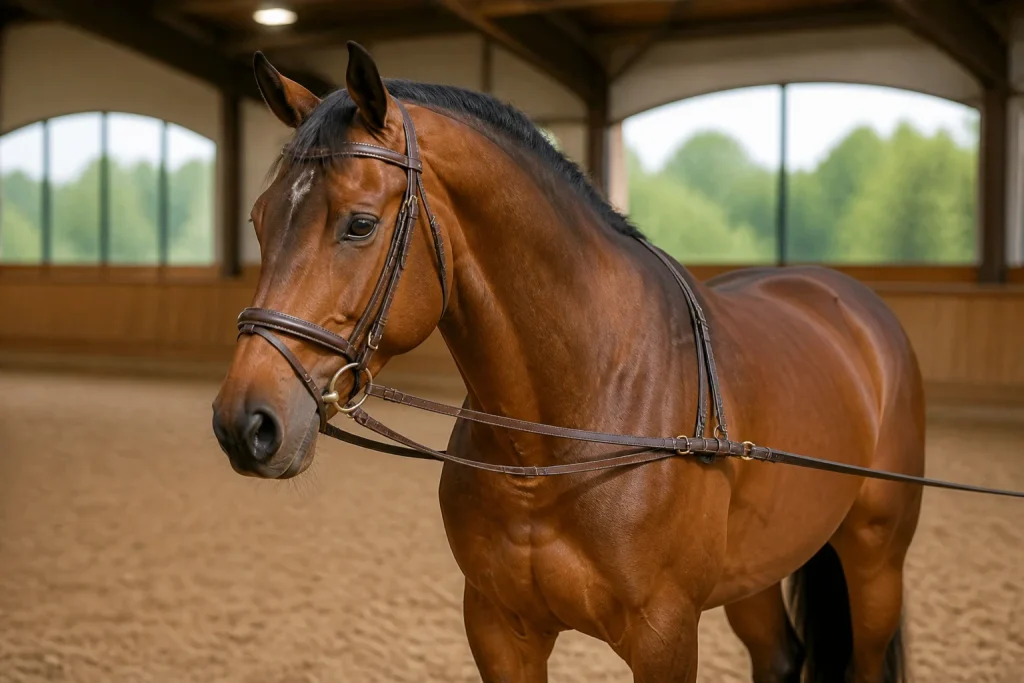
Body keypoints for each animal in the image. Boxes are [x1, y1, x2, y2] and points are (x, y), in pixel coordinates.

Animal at [212, 42, 923, 683]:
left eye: (359, 224)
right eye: (258, 220)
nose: (245, 424)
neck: (567, 428)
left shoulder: (665, 637)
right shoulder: (500, 629)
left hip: (875, 560)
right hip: (756, 570)